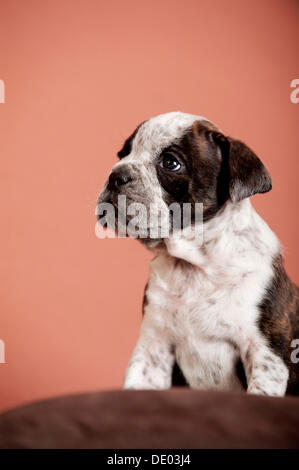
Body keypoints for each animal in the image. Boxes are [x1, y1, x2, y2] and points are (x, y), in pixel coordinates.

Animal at [96, 112, 299, 394]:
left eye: (170, 163)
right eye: (123, 154)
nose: (117, 174)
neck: (195, 265)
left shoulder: (264, 356)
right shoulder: (153, 350)